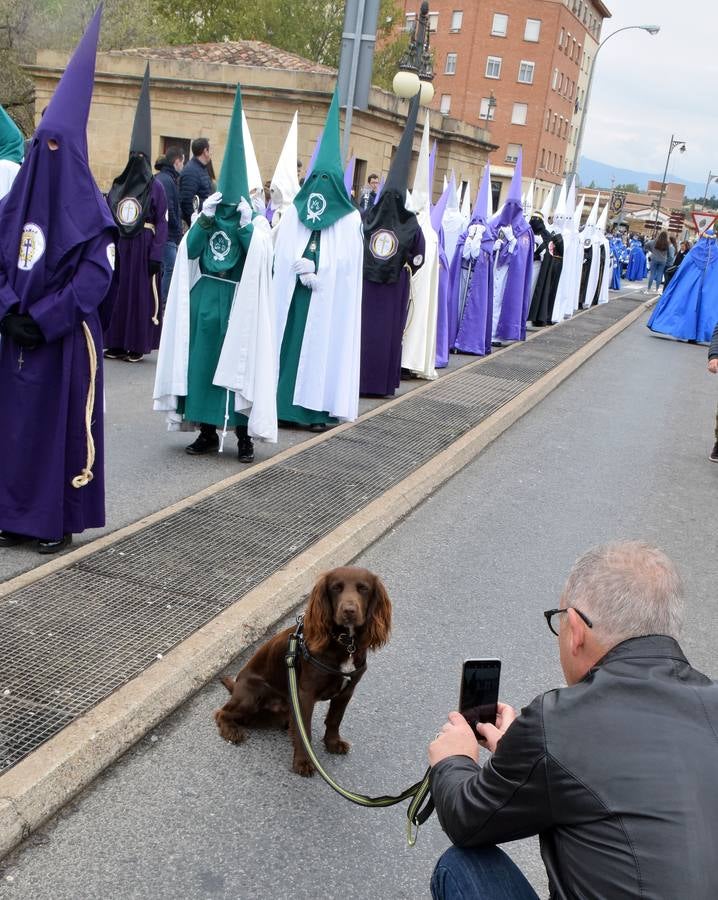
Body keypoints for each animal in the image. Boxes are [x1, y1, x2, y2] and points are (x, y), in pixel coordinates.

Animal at [214, 568, 394, 772]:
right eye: (336, 588)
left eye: (363, 588)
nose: (349, 611)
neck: (344, 643)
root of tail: (236, 686)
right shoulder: (305, 694)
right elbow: (304, 730)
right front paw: (303, 761)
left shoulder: (347, 691)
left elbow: (334, 719)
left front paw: (332, 743)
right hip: (252, 695)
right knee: (221, 712)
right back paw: (232, 731)